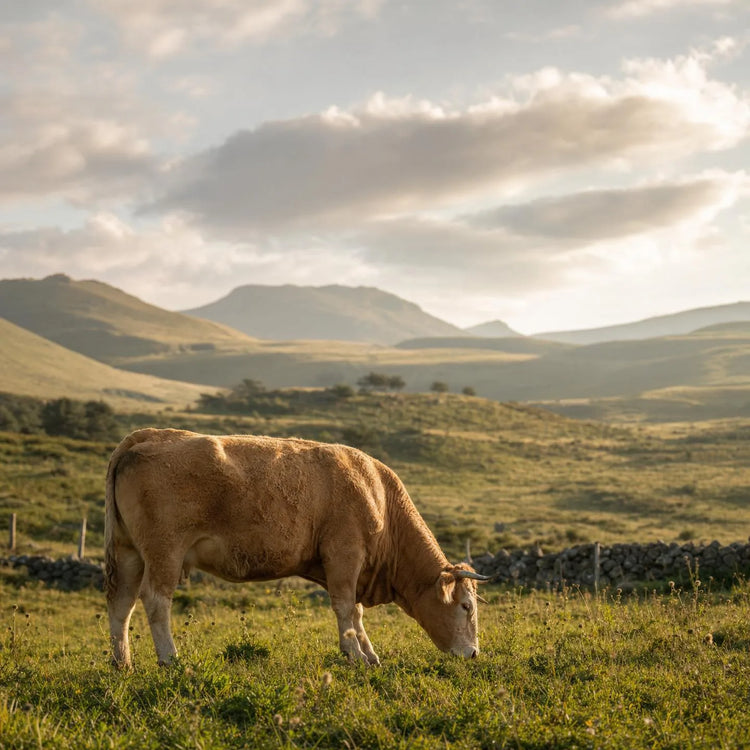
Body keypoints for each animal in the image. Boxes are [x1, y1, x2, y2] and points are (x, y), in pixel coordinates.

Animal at [105, 428, 491, 668]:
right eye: (466, 606)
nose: (473, 654)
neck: (380, 498)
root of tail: (149, 436)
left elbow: (356, 612)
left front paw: (370, 655)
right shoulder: (344, 555)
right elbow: (345, 609)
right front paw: (355, 655)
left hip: (128, 552)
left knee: (121, 603)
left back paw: (123, 663)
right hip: (164, 551)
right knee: (156, 600)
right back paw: (170, 659)